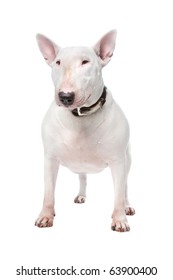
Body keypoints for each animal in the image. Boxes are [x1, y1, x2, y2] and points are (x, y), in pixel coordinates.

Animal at [35, 30, 135, 232]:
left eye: (85, 62)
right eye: (58, 62)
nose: (65, 96)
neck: (80, 116)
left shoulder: (118, 161)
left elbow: (118, 195)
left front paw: (119, 219)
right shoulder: (50, 159)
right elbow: (48, 192)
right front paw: (45, 216)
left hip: (127, 160)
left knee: (125, 187)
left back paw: (127, 206)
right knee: (83, 177)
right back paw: (81, 195)